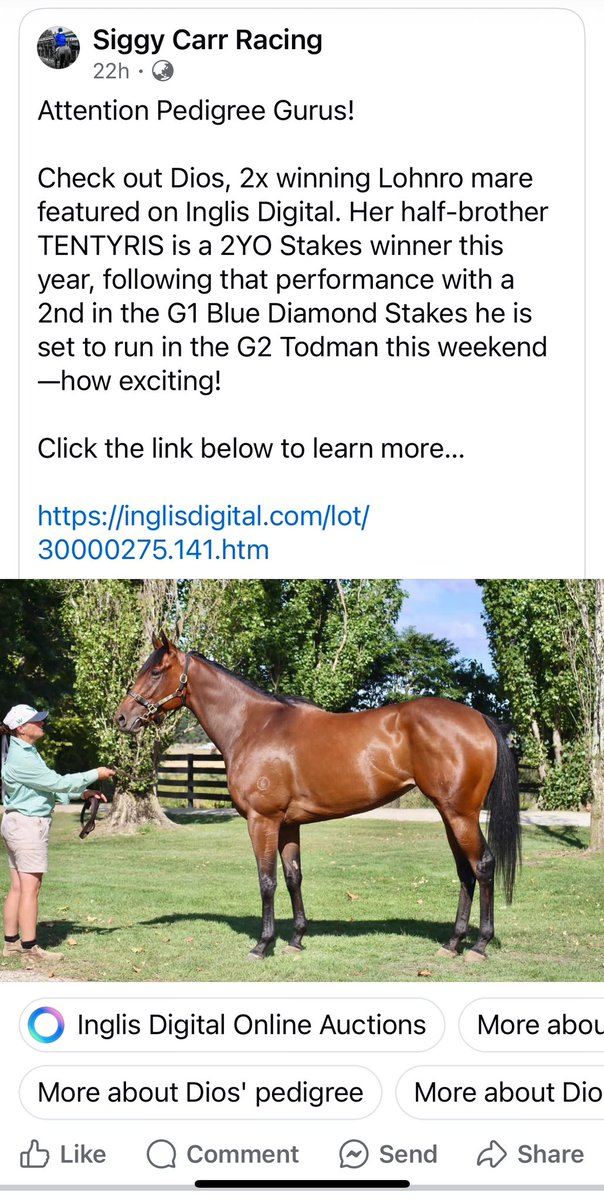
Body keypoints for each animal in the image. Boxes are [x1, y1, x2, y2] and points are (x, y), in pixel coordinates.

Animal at [114, 632, 520, 963]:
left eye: (155, 672)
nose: (121, 718)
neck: (253, 727)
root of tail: (480, 719)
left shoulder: (263, 820)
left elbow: (267, 880)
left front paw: (263, 945)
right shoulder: (288, 824)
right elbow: (293, 876)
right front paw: (296, 940)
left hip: (460, 814)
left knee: (483, 866)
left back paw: (479, 946)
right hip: (450, 815)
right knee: (466, 872)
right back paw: (452, 943)